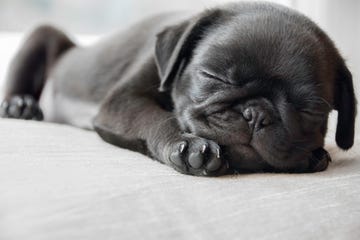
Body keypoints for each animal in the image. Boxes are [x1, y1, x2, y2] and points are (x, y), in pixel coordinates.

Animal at [0, 1, 356, 176]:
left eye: (310, 110)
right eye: (215, 77)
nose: (256, 114)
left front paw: (314, 156)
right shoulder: (123, 101)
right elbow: (157, 118)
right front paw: (187, 146)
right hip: (43, 34)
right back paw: (20, 105)